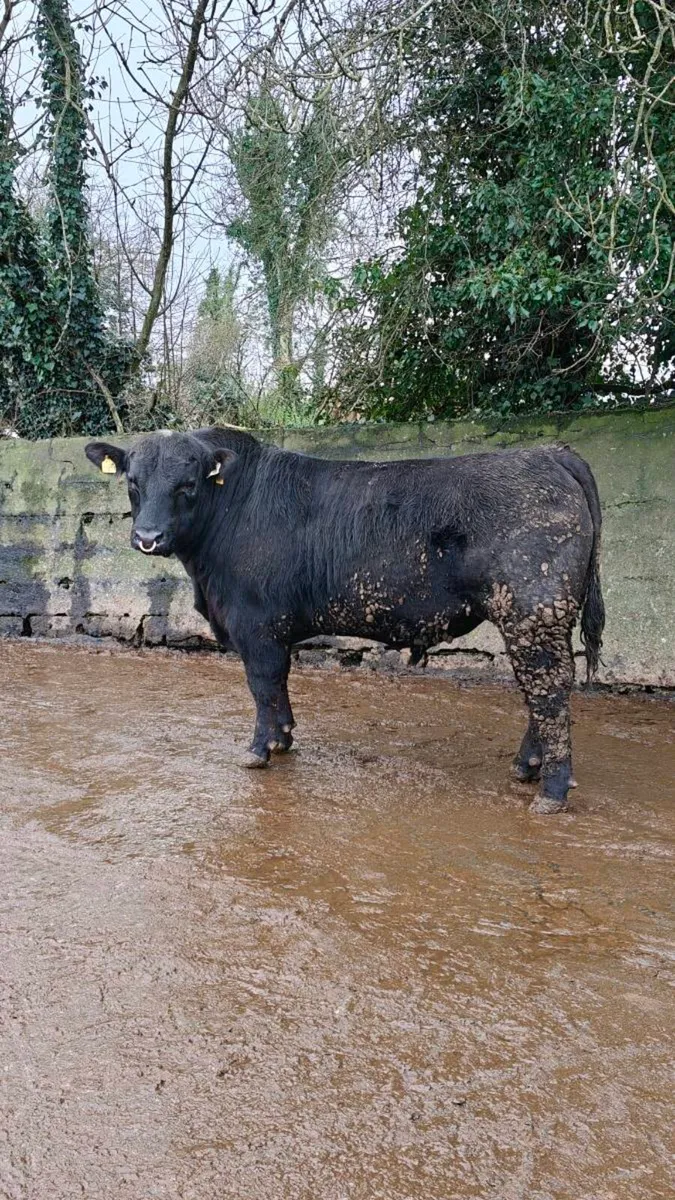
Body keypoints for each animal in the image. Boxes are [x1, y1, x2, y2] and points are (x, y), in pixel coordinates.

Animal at [85, 427, 605, 814]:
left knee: (549, 688)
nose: (147, 537)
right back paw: (527, 765)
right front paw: (283, 739)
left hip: (532, 611)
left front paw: (258, 750)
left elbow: (263, 685)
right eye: (132, 483)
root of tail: (549, 454)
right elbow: (280, 686)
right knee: (542, 688)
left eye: (187, 486)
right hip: (536, 618)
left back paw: (552, 790)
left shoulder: (256, 625)